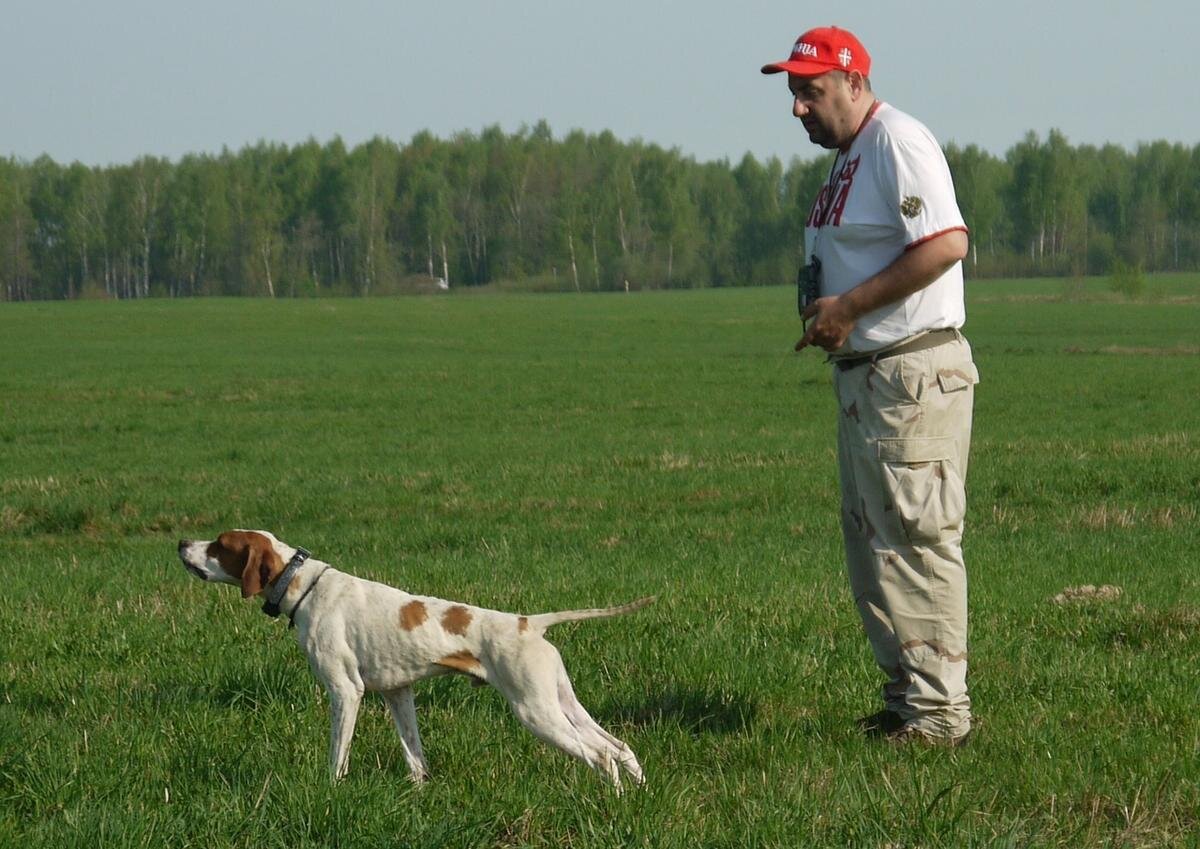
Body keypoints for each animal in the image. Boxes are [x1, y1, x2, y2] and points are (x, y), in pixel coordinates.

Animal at [175, 530, 657, 791]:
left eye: (219, 544)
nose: (181, 542)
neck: (305, 585)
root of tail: (528, 622)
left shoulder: (346, 691)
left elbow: (337, 755)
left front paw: (331, 790)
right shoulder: (397, 693)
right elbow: (415, 757)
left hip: (536, 713)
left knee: (601, 756)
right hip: (562, 704)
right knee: (620, 747)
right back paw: (637, 793)